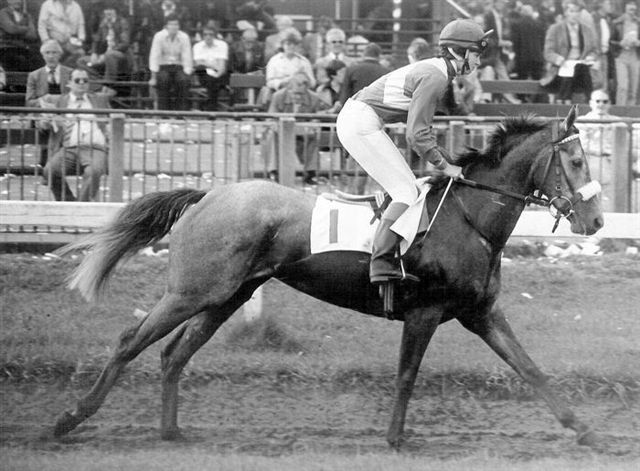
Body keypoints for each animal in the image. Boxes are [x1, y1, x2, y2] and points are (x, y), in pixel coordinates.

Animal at [47, 106, 604, 449]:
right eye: (576, 159)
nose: (597, 221)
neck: (469, 218)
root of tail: (208, 195)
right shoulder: (423, 313)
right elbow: (406, 375)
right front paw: (395, 439)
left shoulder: (481, 313)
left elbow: (529, 368)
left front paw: (584, 430)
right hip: (192, 290)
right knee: (130, 341)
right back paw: (69, 418)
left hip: (227, 296)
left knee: (172, 355)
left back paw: (170, 431)